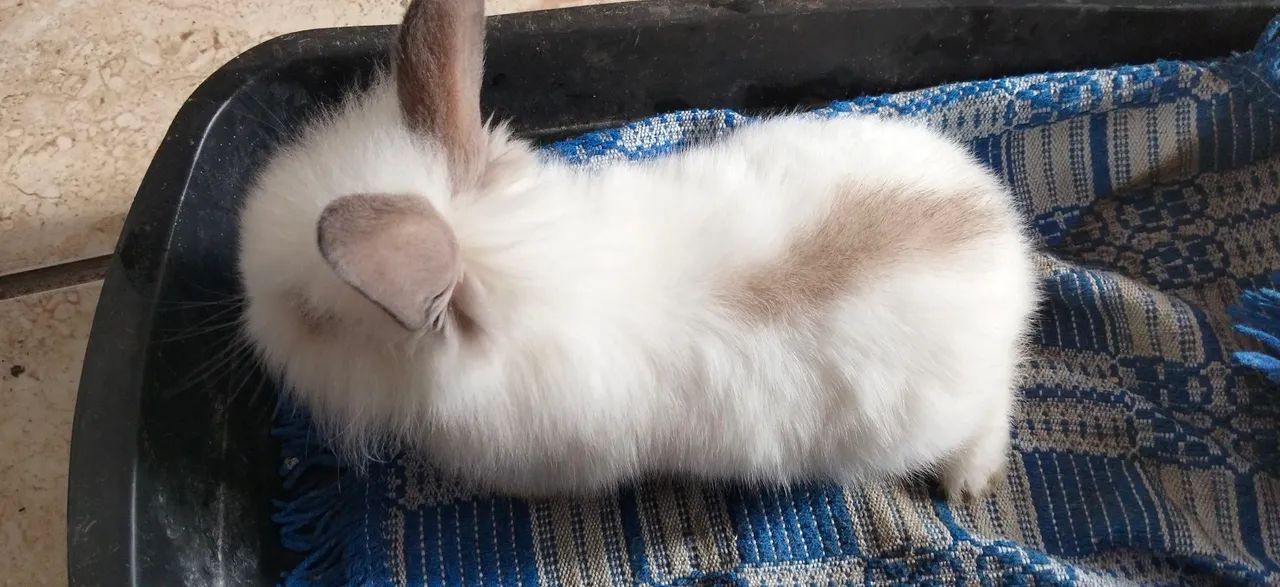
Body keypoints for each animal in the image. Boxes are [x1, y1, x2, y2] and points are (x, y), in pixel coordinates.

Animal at [238, 0, 1039, 500]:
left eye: (311, 317)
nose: (250, 318)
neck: (525, 257)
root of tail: (1002, 236)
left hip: (944, 410)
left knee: (995, 404)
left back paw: (969, 483)